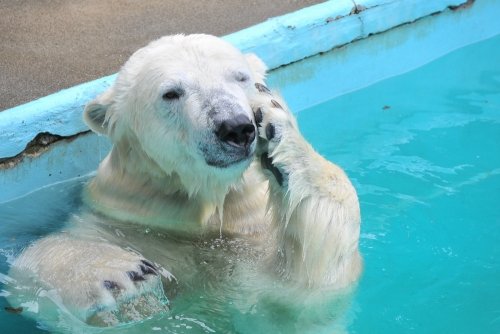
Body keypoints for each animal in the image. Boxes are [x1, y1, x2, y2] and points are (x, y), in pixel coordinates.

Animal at [9, 34, 362, 328]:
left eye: (241, 77)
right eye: (171, 93)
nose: (236, 127)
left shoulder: (249, 228)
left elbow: (305, 289)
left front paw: (277, 125)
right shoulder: (127, 213)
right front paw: (121, 274)